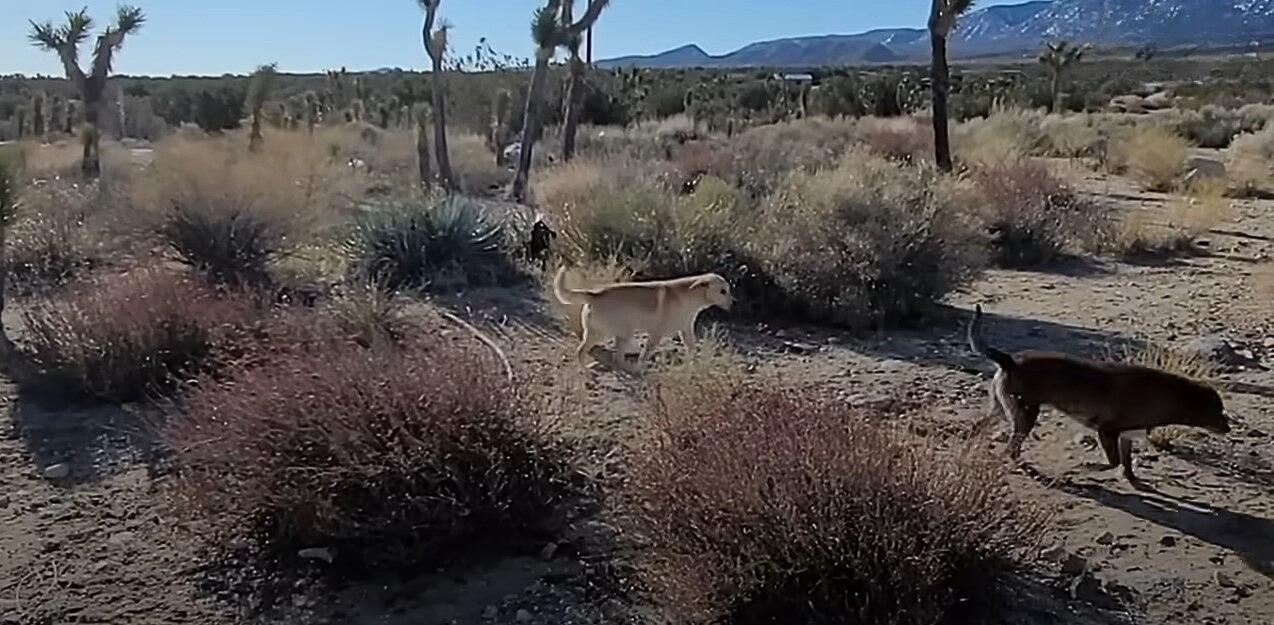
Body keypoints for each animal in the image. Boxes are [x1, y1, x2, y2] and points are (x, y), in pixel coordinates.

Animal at [550, 266, 738, 369]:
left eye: (728, 290)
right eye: (723, 291)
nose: (734, 303)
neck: (689, 297)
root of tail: (593, 294)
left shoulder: (686, 331)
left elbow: (692, 348)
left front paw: (694, 365)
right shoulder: (656, 334)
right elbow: (646, 354)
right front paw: (641, 366)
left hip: (612, 334)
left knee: (608, 356)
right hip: (610, 333)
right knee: (584, 351)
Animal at [968, 305, 1228, 491]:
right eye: (1218, 410)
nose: (1229, 427)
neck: (1171, 395)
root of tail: (1009, 360)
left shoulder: (1126, 436)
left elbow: (1126, 464)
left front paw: (1133, 480)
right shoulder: (1107, 432)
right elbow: (1113, 462)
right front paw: (1086, 468)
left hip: (1003, 408)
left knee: (981, 429)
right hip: (1026, 414)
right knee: (1010, 449)